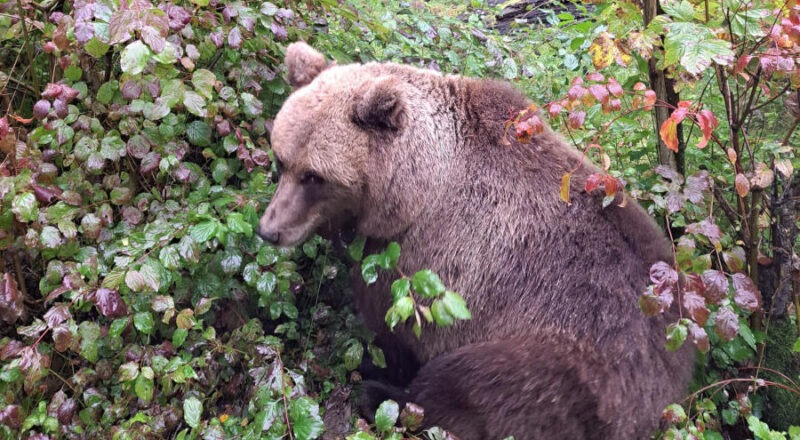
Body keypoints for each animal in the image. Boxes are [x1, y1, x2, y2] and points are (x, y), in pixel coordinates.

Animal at [260, 42, 692, 440]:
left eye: (315, 176)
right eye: (282, 160)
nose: (271, 229)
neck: (411, 188)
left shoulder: (417, 260)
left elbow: (393, 332)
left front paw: (376, 365)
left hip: (573, 365)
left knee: (471, 381)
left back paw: (380, 396)